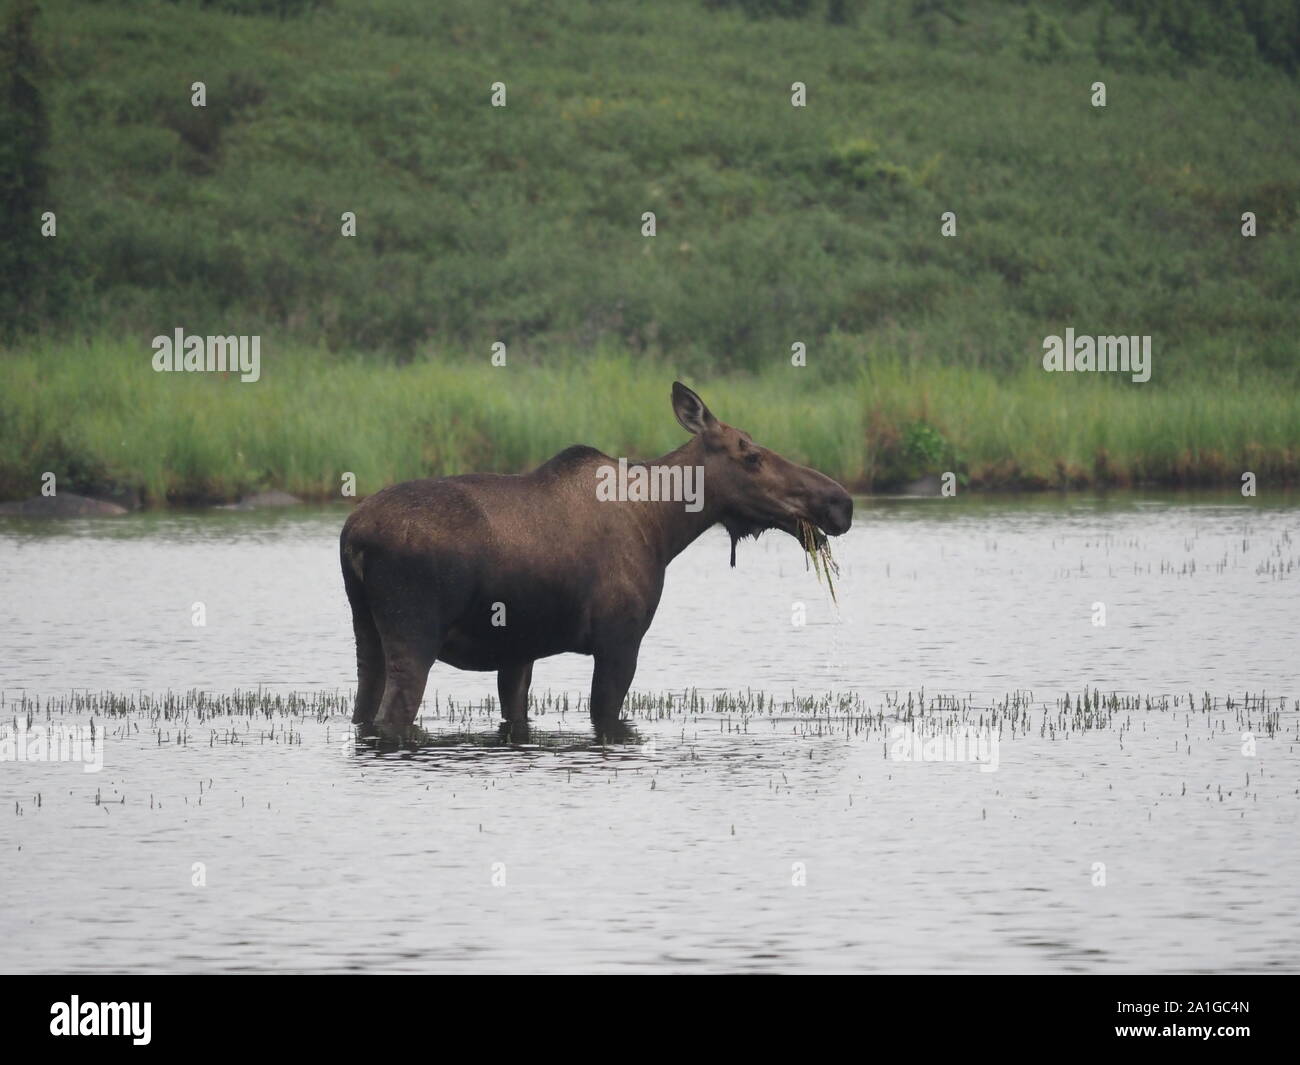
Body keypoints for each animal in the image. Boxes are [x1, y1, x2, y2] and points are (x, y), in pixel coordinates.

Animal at [343, 382, 852, 743]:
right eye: (751, 455)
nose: (840, 502)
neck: (663, 528)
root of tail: (354, 538)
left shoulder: (519, 651)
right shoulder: (619, 639)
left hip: (367, 634)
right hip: (414, 635)